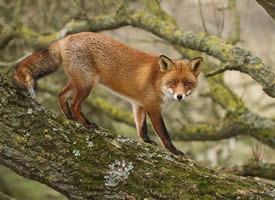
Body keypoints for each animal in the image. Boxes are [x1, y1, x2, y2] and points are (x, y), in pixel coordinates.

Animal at [12, 31, 203, 156]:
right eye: (173, 83)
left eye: (187, 84)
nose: (179, 96)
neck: (159, 81)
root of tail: (68, 37)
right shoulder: (153, 108)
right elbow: (164, 134)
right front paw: (175, 151)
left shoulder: (138, 104)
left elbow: (141, 128)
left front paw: (147, 141)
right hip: (87, 85)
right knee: (75, 104)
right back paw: (86, 124)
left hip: (79, 82)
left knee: (61, 94)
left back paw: (70, 118)